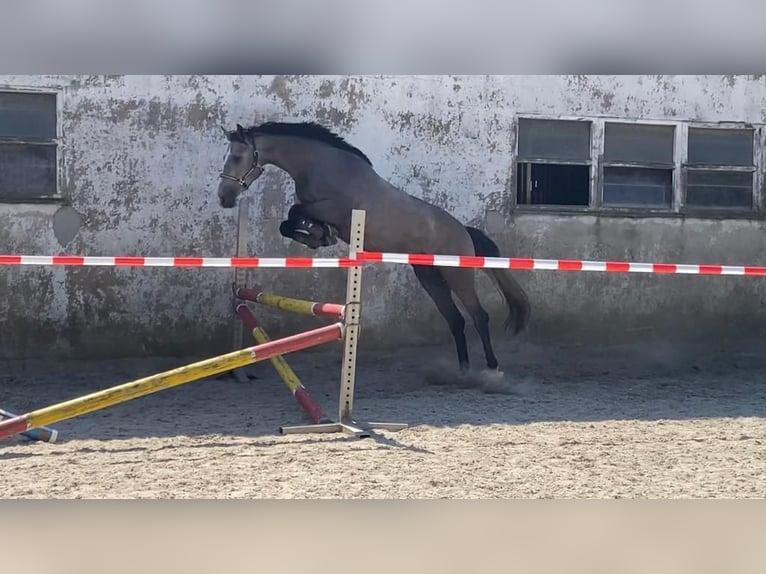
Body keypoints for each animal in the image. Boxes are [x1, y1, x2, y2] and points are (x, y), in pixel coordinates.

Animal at [214, 120, 528, 378]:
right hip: (429, 275)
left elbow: (295, 212)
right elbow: (289, 222)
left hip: (456, 275)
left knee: (478, 316)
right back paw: (462, 371)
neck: (319, 164)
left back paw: (492, 369)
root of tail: (464, 230)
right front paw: (317, 236)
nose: (224, 198)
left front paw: (318, 235)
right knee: (455, 318)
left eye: (238, 157)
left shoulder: (333, 209)